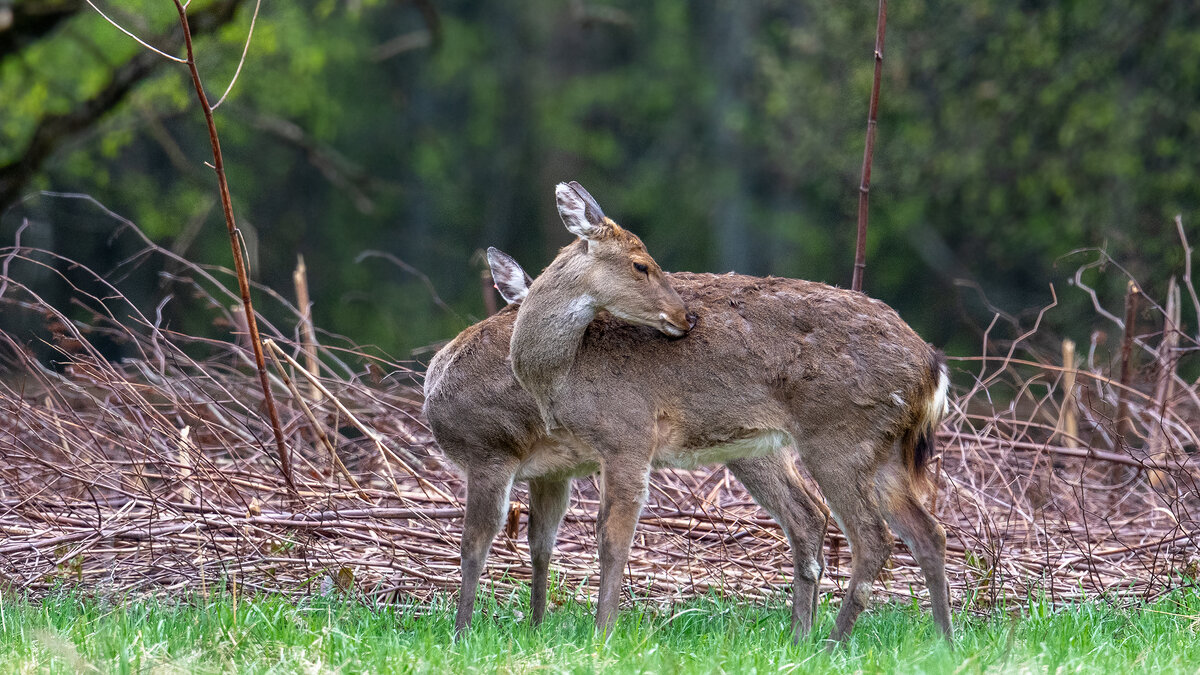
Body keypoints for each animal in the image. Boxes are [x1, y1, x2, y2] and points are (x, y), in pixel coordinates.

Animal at [423, 249, 831, 640]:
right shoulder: (549, 472)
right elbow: (540, 544)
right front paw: (535, 628)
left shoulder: (489, 450)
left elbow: (475, 544)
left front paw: (462, 634)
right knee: (811, 512)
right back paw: (808, 633)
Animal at [504, 181, 952, 644]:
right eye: (640, 265)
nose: (686, 316)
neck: (565, 373)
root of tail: (932, 368)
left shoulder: (628, 434)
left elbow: (612, 537)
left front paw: (603, 634)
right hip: (872, 448)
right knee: (925, 531)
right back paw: (936, 641)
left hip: (840, 436)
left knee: (873, 537)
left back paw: (830, 644)